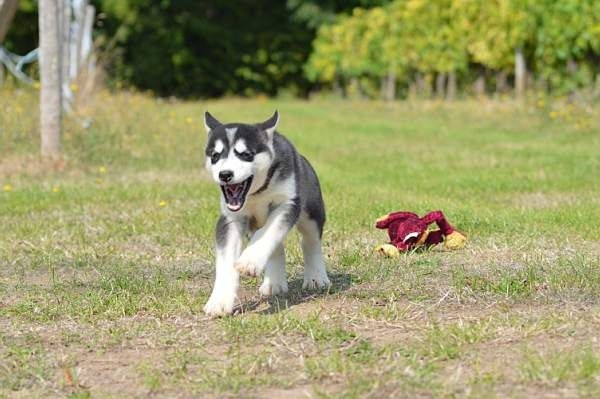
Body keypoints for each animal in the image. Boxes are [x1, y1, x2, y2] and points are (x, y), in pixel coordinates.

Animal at [204, 111, 330, 318]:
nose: (225, 174)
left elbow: (267, 233)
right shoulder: (230, 220)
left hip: (312, 211)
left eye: (246, 155)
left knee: (310, 242)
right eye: (215, 156)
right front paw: (220, 301)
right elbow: (226, 261)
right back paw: (274, 283)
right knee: (276, 247)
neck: (257, 193)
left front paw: (249, 261)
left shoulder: (287, 204)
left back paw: (316, 277)